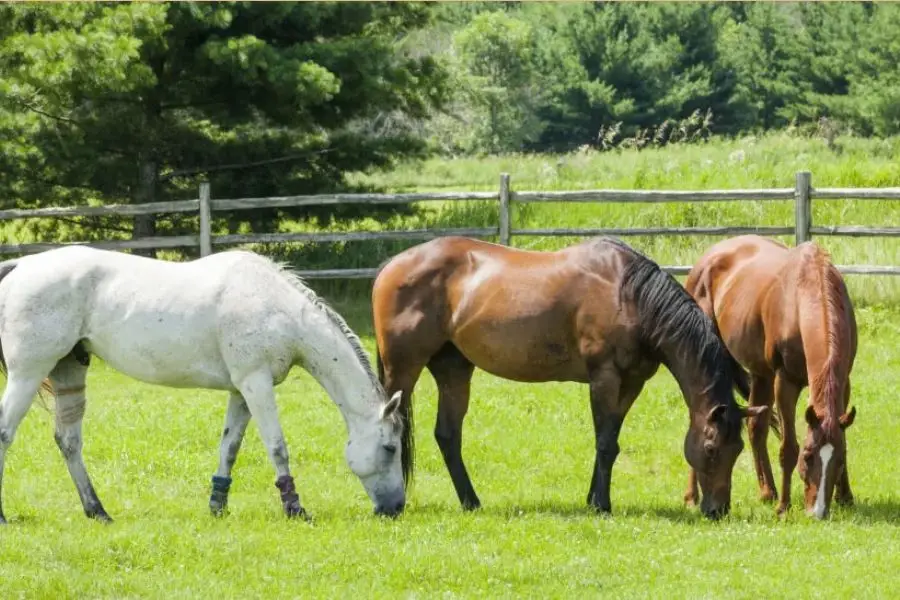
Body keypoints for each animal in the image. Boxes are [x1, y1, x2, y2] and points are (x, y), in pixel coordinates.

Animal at [0, 246, 404, 524]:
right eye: (390, 448)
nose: (396, 508)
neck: (278, 309)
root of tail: (21, 266)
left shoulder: (241, 391)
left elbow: (230, 447)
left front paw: (217, 506)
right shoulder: (257, 384)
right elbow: (277, 447)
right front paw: (294, 508)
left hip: (68, 370)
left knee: (69, 442)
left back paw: (97, 510)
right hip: (28, 373)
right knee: (6, 433)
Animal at [370, 237, 764, 516]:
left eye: (738, 448)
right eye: (711, 448)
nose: (717, 510)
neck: (630, 296)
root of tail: (390, 267)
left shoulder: (631, 383)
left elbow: (610, 442)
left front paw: (593, 498)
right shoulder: (604, 378)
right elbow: (605, 442)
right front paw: (601, 504)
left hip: (453, 369)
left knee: (448, 435)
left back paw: (471, 502)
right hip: (403, 369)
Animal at [684, 234, 856, 520]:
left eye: (839, 459)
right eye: (808, 456)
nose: (817, 512)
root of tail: (708, 258)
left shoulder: (844, 383)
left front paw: (846, 497)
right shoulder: (785, 382)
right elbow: (788, 448)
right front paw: (784, 507)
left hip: (760, 374)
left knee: (756, 428)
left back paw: (767, 491)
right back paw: (691, 497)